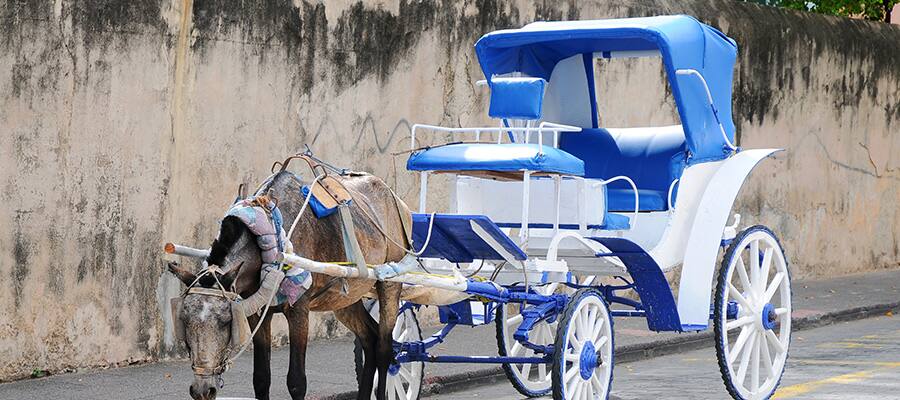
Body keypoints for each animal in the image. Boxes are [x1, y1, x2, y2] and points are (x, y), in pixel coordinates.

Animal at [167, 169, 410, 400]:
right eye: (184, 320)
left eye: (226, 322)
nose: (202, 390)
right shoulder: (258, 314)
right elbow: (261, 378)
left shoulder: (299, 310)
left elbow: (296, 382)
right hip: (345, 298)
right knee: (369, 340)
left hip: (390, 283)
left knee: (384, 348)